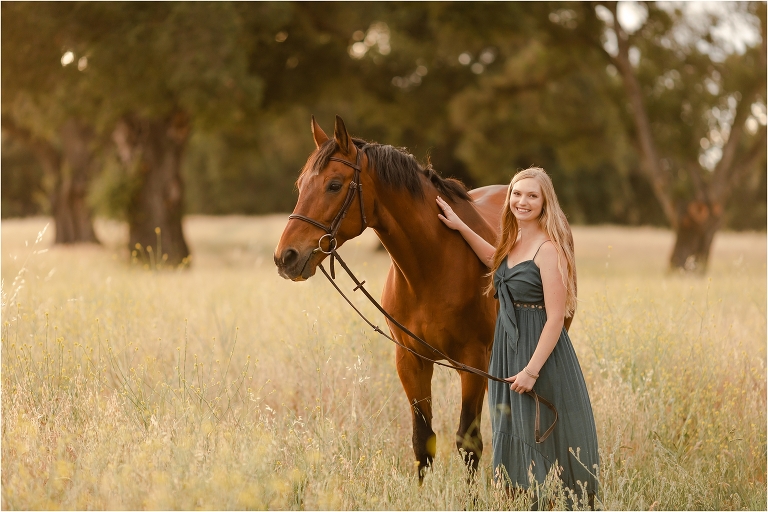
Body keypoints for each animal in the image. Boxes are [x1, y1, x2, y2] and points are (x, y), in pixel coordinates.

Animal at [274, 115, 573, 479]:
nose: (286, 257)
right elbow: (422, 440)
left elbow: (468, 443)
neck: (432, 267)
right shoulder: (410, 360)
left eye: (333, 185)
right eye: (301, 184)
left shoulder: (474, 362)